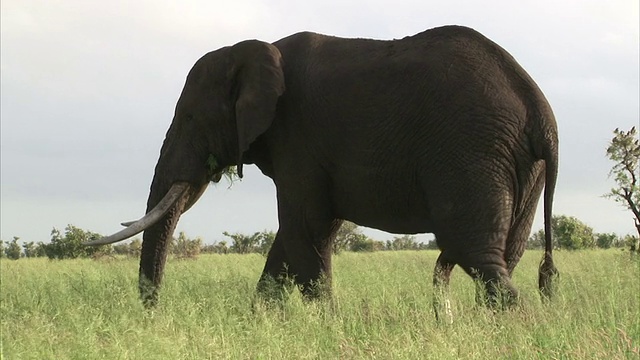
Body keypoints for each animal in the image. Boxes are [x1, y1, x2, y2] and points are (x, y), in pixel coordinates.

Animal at [87, 23, 556, 314]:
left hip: (471, 149)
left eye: (188, 118)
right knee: (503, 254)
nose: (153, 316)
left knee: (475, 254)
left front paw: (326, 324)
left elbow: (305, 231)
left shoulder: (298, 138)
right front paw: (263, 323)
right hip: (516, 164)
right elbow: (294, 239)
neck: (254, 50)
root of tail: (538, 108)